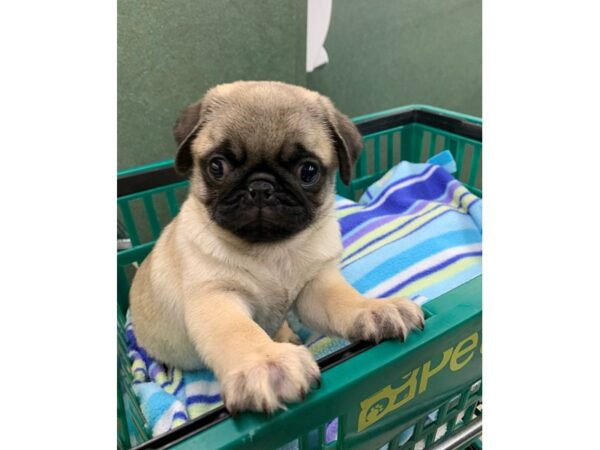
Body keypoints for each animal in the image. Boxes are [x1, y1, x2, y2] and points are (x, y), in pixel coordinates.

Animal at [129, 80, 424, 414]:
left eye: (308, 171)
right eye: (217, 167)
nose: (260, 186)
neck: (273, 250)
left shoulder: (317, 285)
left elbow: (344, 300)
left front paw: (375, 308)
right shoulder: (215, 297)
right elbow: (239, 331)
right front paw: (266, 364)